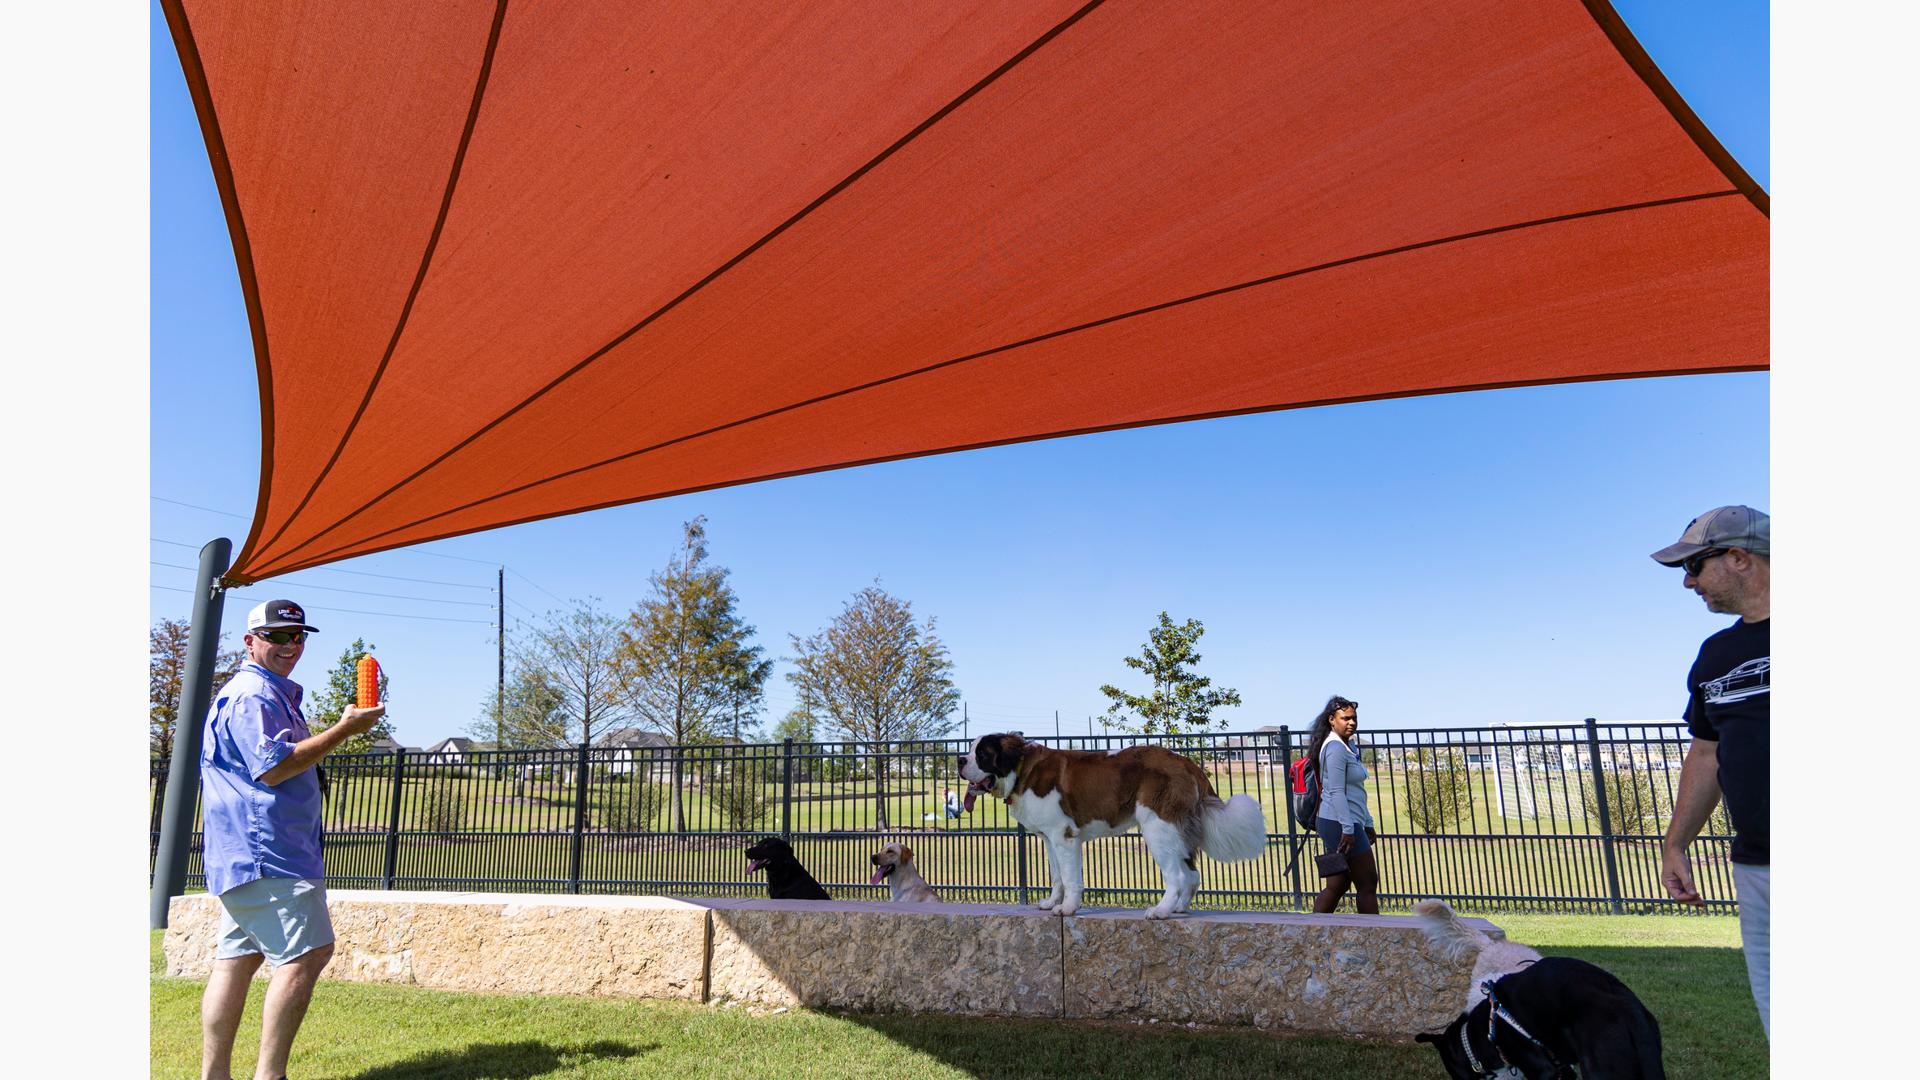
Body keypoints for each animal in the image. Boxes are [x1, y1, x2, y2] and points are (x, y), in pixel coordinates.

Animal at [952, 726, 1267, 910]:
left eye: (982, 754)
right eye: (970, 750)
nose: (960, 760)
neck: (1020, 769)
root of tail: (1185, 761)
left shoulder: (1065, 837)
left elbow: (1070, 877)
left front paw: (1068, 909)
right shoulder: (1050, 839)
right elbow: (1056, 876)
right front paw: (1051, 903)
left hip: (1159, 829)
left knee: (1177, 876)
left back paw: (1161, 911)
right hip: (1176, 833)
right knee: (1192, 874)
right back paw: (1178, 909)